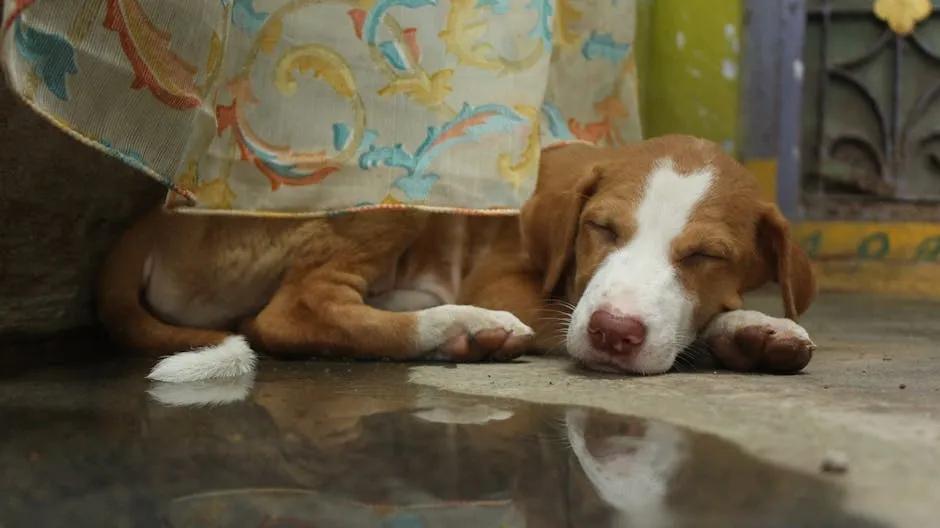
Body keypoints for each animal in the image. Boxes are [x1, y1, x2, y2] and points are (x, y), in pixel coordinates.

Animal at [97, 135, 816, 384]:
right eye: (601, 228)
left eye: (706, 255)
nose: (614, 334)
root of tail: (151, 218)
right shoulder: (513, 282)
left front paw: (752, 329)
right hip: (393, 197)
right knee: (290, 314)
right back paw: (460, 328)